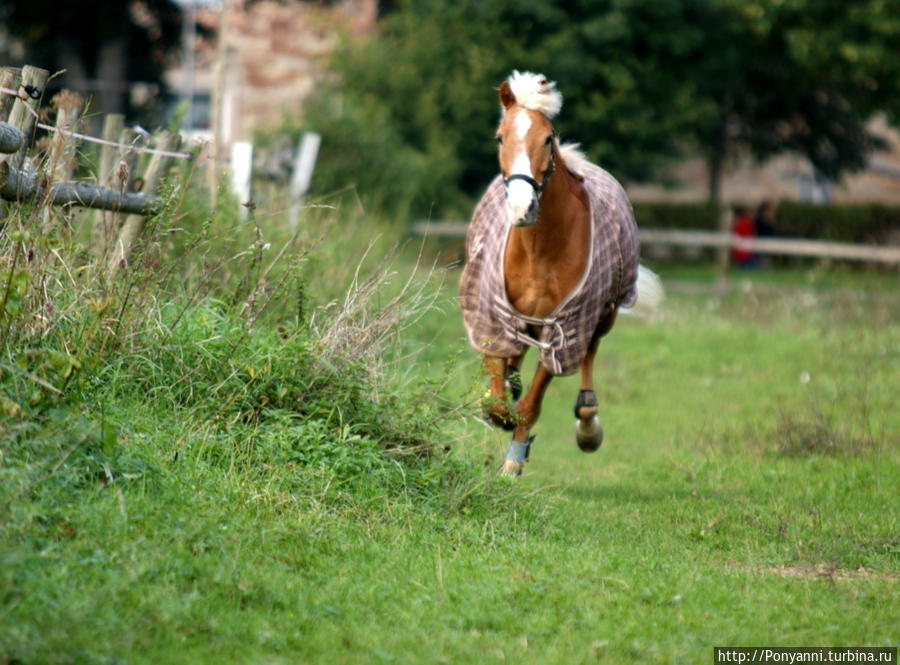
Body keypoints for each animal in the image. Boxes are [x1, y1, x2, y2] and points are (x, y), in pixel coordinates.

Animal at [458, 70, 660, 474]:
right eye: (500, 137)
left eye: (547, 139)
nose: (522, 207)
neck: (538, 251)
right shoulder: (491, 314)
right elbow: (496, 399)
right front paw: (500, 407)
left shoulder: (564, 326)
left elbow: (531, 404)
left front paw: (514, 461)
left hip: (604, 314)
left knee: (590, 357)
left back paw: (588, 424)